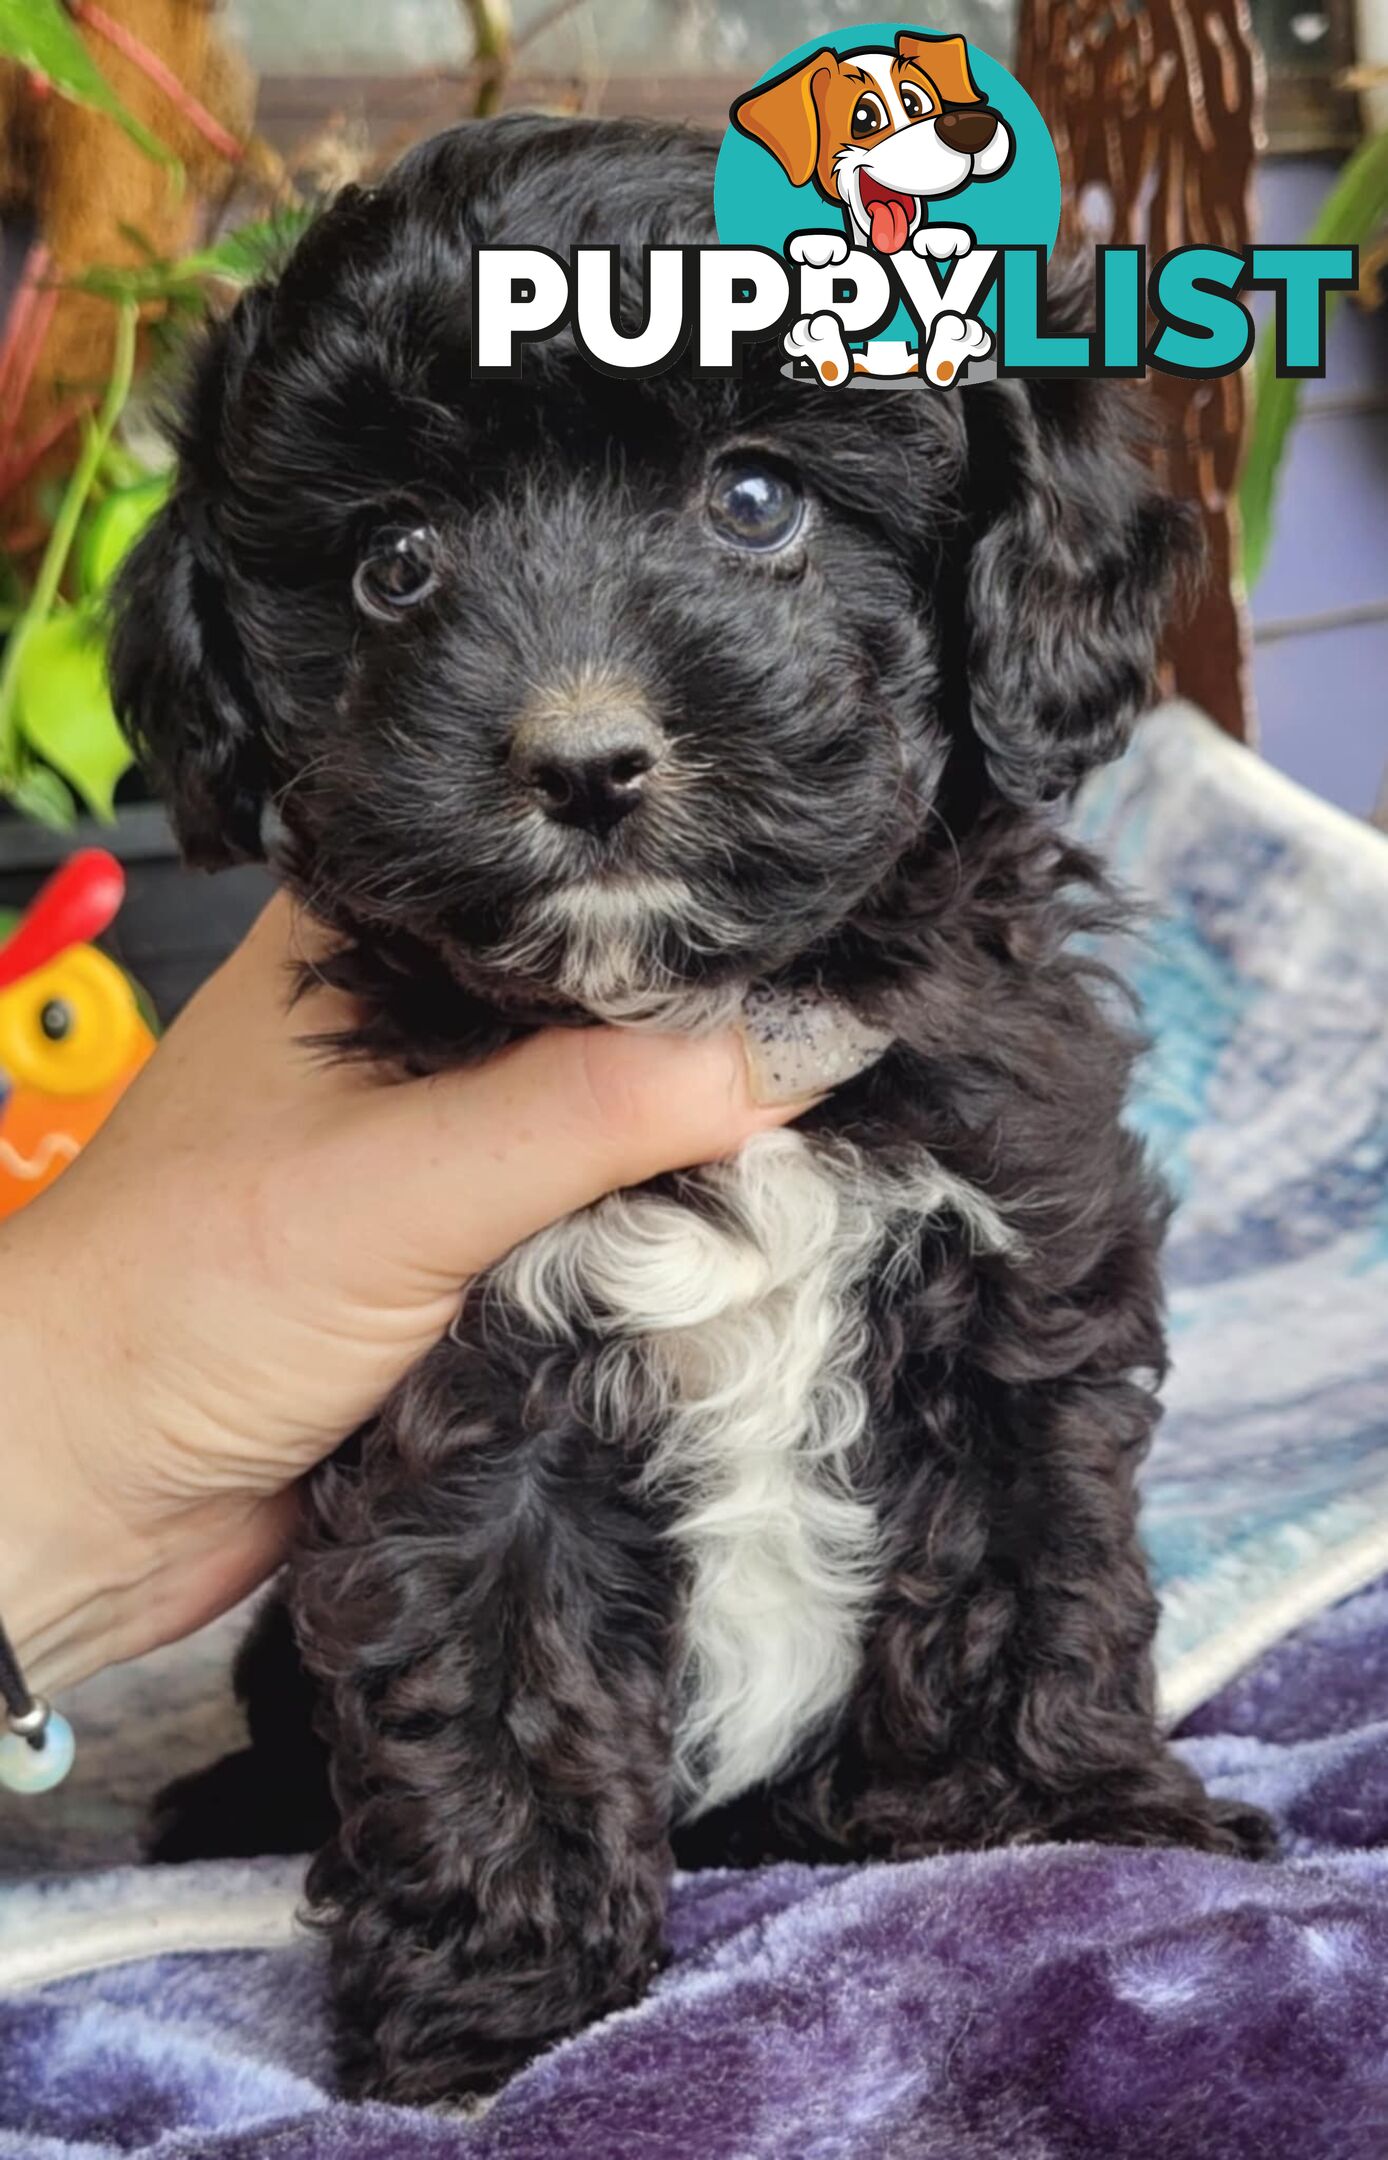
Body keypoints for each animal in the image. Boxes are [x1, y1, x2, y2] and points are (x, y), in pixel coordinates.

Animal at [113, 109, 1277, 2099]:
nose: (582, 761)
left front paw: (1081, 1823)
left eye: (755, 501)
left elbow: (1037, 1552)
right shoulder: (465, 1381)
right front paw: (494, 2009)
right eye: (392, 564)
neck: (702, 1007)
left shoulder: (1015, 1256)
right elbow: (486, 1671)